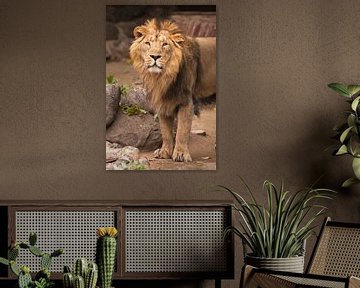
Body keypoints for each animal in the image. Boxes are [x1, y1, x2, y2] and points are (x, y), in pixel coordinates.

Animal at [129, 18, 215, 162]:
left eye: (164, 44)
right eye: (148, 43)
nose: (155, 56)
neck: (162, 78)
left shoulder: (186, 101)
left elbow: (182, 130)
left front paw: (180, 154)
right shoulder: (163, 102)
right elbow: (165, 131)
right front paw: (164, 152)